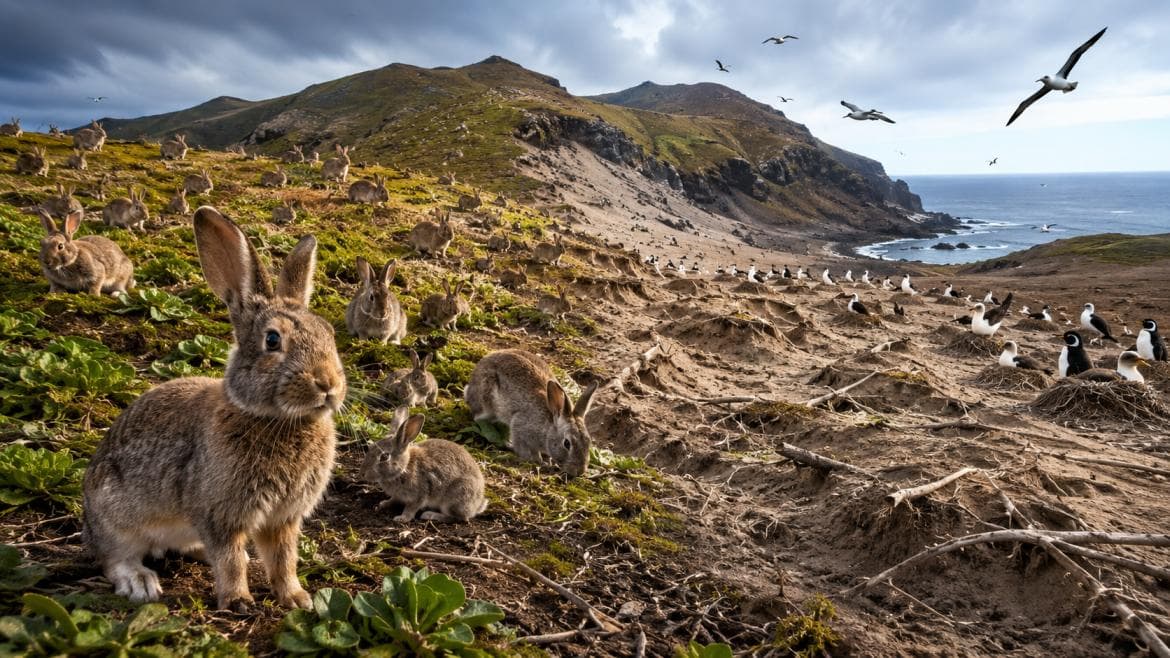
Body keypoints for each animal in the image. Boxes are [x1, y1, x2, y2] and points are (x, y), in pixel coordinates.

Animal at [82, 206, 346, 611]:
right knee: (113, 557)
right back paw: (140, 582)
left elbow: (283, 559)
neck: (278, 419)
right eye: (273, 340)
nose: (328, 385)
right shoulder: (221, 513)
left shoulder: (283, 519)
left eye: (329, 334)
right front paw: (238, 600)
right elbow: (230, 558)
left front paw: (296, 597)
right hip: (115, 517)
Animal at [464, 349, 598, 477]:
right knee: (479, 419)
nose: (579, 471)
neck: (548, 428)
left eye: (588, 442)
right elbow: (525, 448)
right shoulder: (520, 426)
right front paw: (539, 461)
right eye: (567, 443)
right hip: (486, 402)